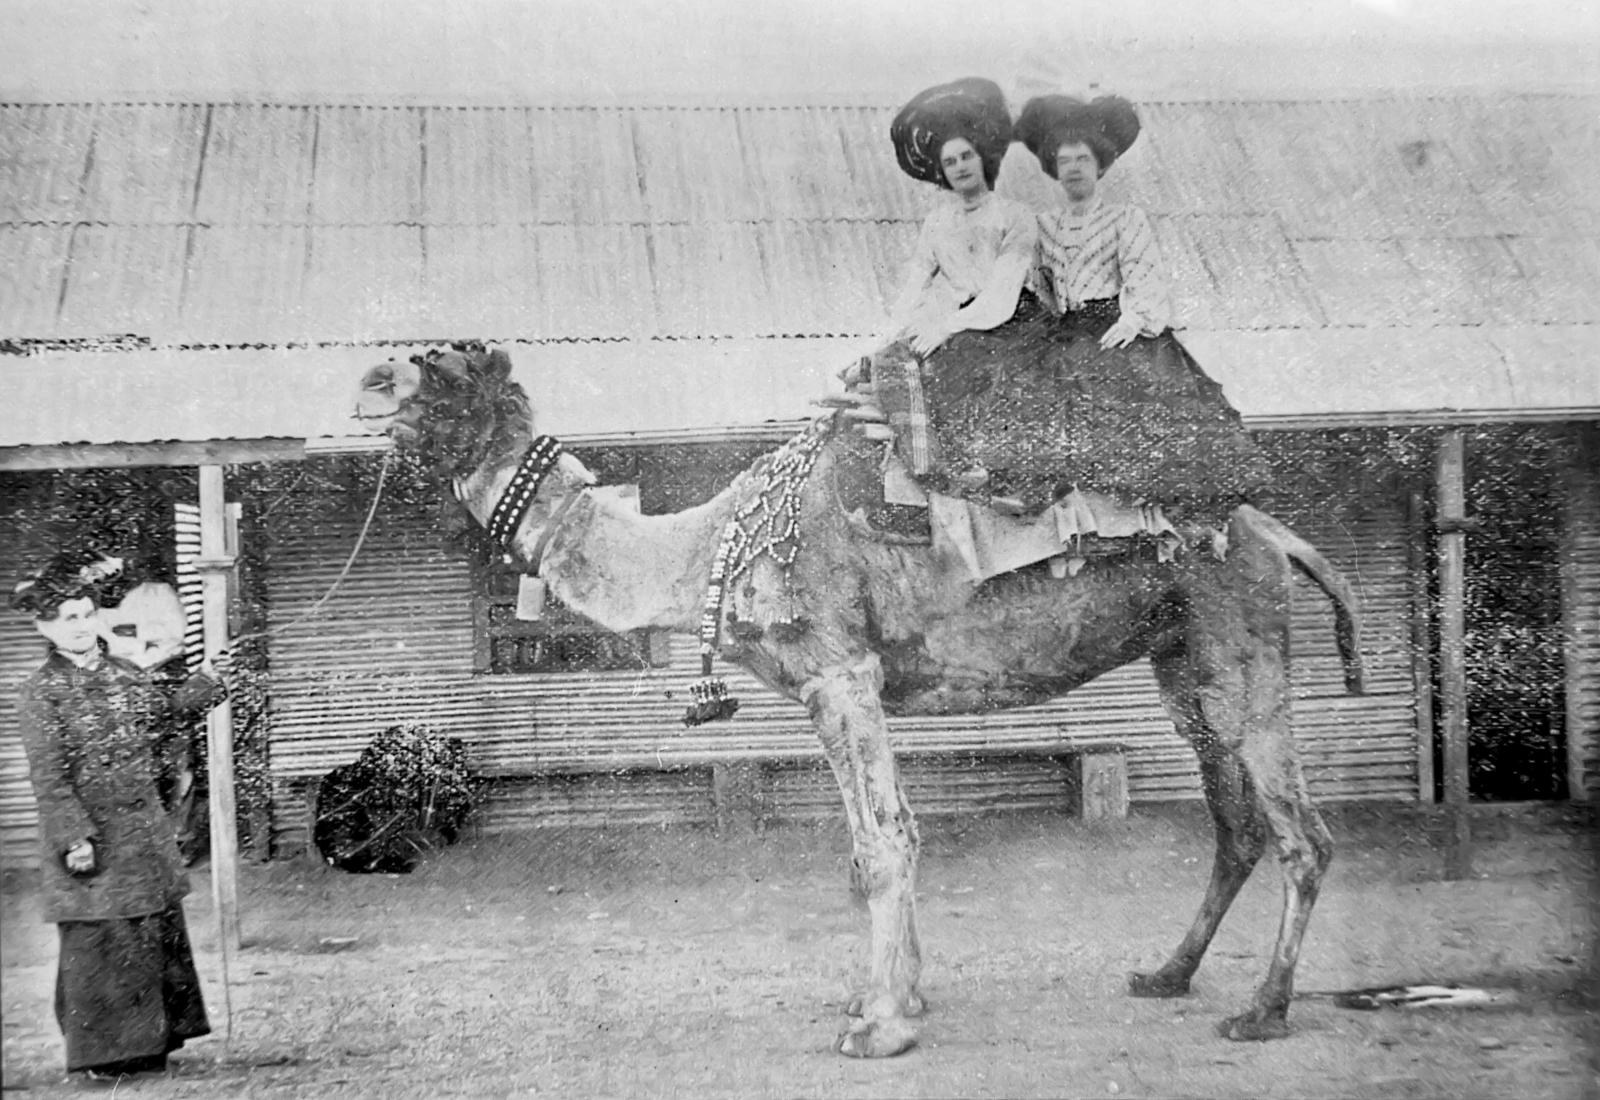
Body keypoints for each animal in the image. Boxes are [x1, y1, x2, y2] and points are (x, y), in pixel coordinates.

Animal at [353, 343, 1363, 1055]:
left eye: (445, 369)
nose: (366, 381)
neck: (708, 551)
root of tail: (1278, 534)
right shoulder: (830, 687)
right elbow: (874, 841)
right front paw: (897, 995)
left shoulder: (840, 671)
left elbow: (884, 842)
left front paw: (880, 1025)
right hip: (1183, 662)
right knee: (1236, 825)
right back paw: (1166, 975)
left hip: (1240, 645)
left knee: (1303, 834)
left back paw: (1263, 1011)